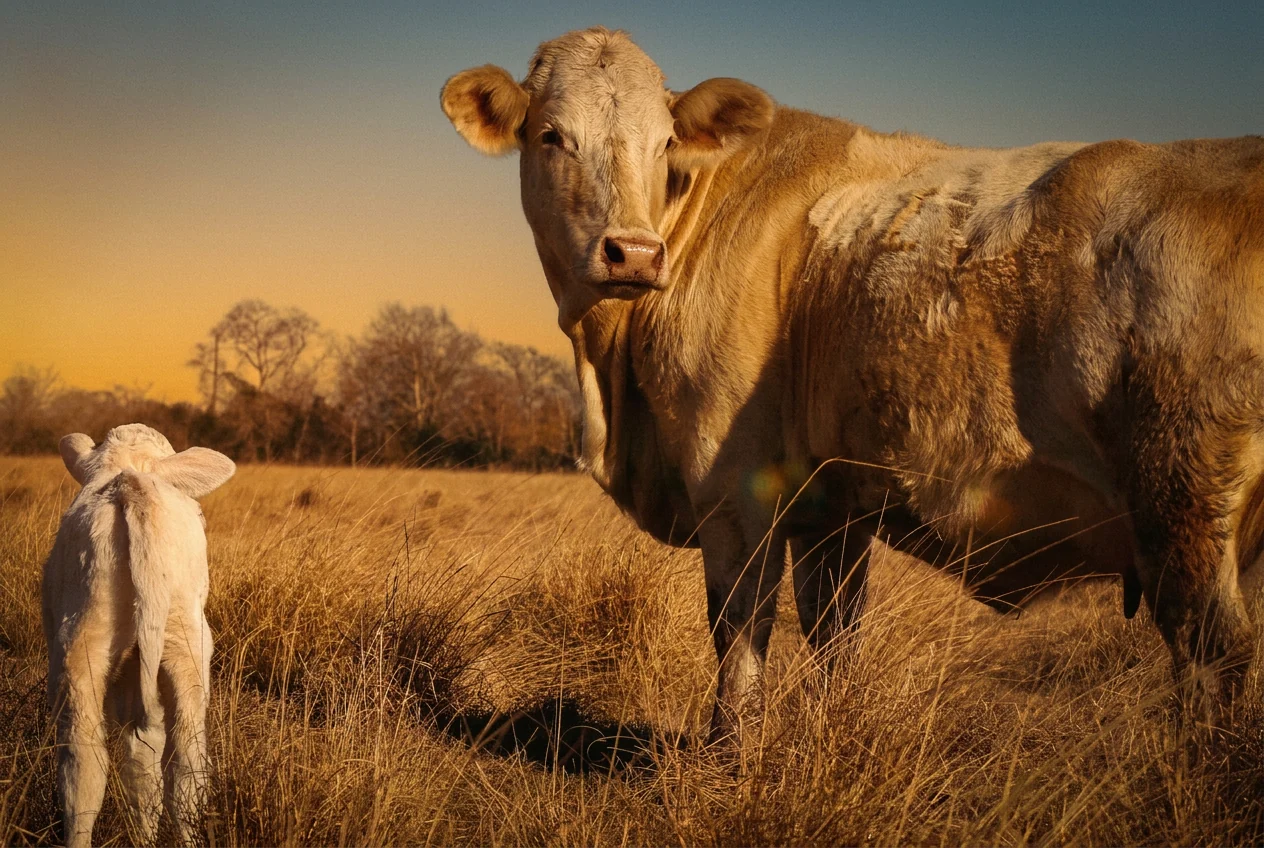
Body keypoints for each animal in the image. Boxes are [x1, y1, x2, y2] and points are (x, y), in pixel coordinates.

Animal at [441, 27, 1264, 740]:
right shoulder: (831, 508)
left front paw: (727, 760)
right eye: (551, 135)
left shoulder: (734, 489)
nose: (633, 253)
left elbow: (739, 634)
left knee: (1213, 658)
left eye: (665, 142)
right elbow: (833, 637)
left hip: (1182, 502)